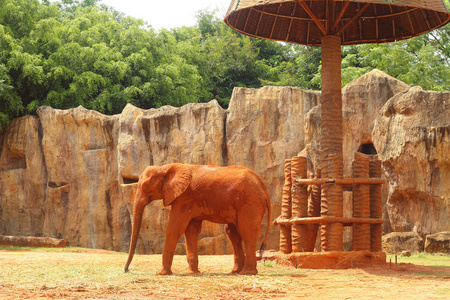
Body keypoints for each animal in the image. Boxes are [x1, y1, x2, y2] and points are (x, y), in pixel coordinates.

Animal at [123, 163, 270, 276]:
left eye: (145, 186)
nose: (126, 270)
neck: (165, 167)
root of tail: (265, 190)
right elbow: (191, 231)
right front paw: (192, 272)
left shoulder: (184, 197)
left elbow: (175, 228)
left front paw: (161, 273)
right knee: (232, 232)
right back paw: (235, 271)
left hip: (250, 202)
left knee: (247, 232)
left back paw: (247, 273)